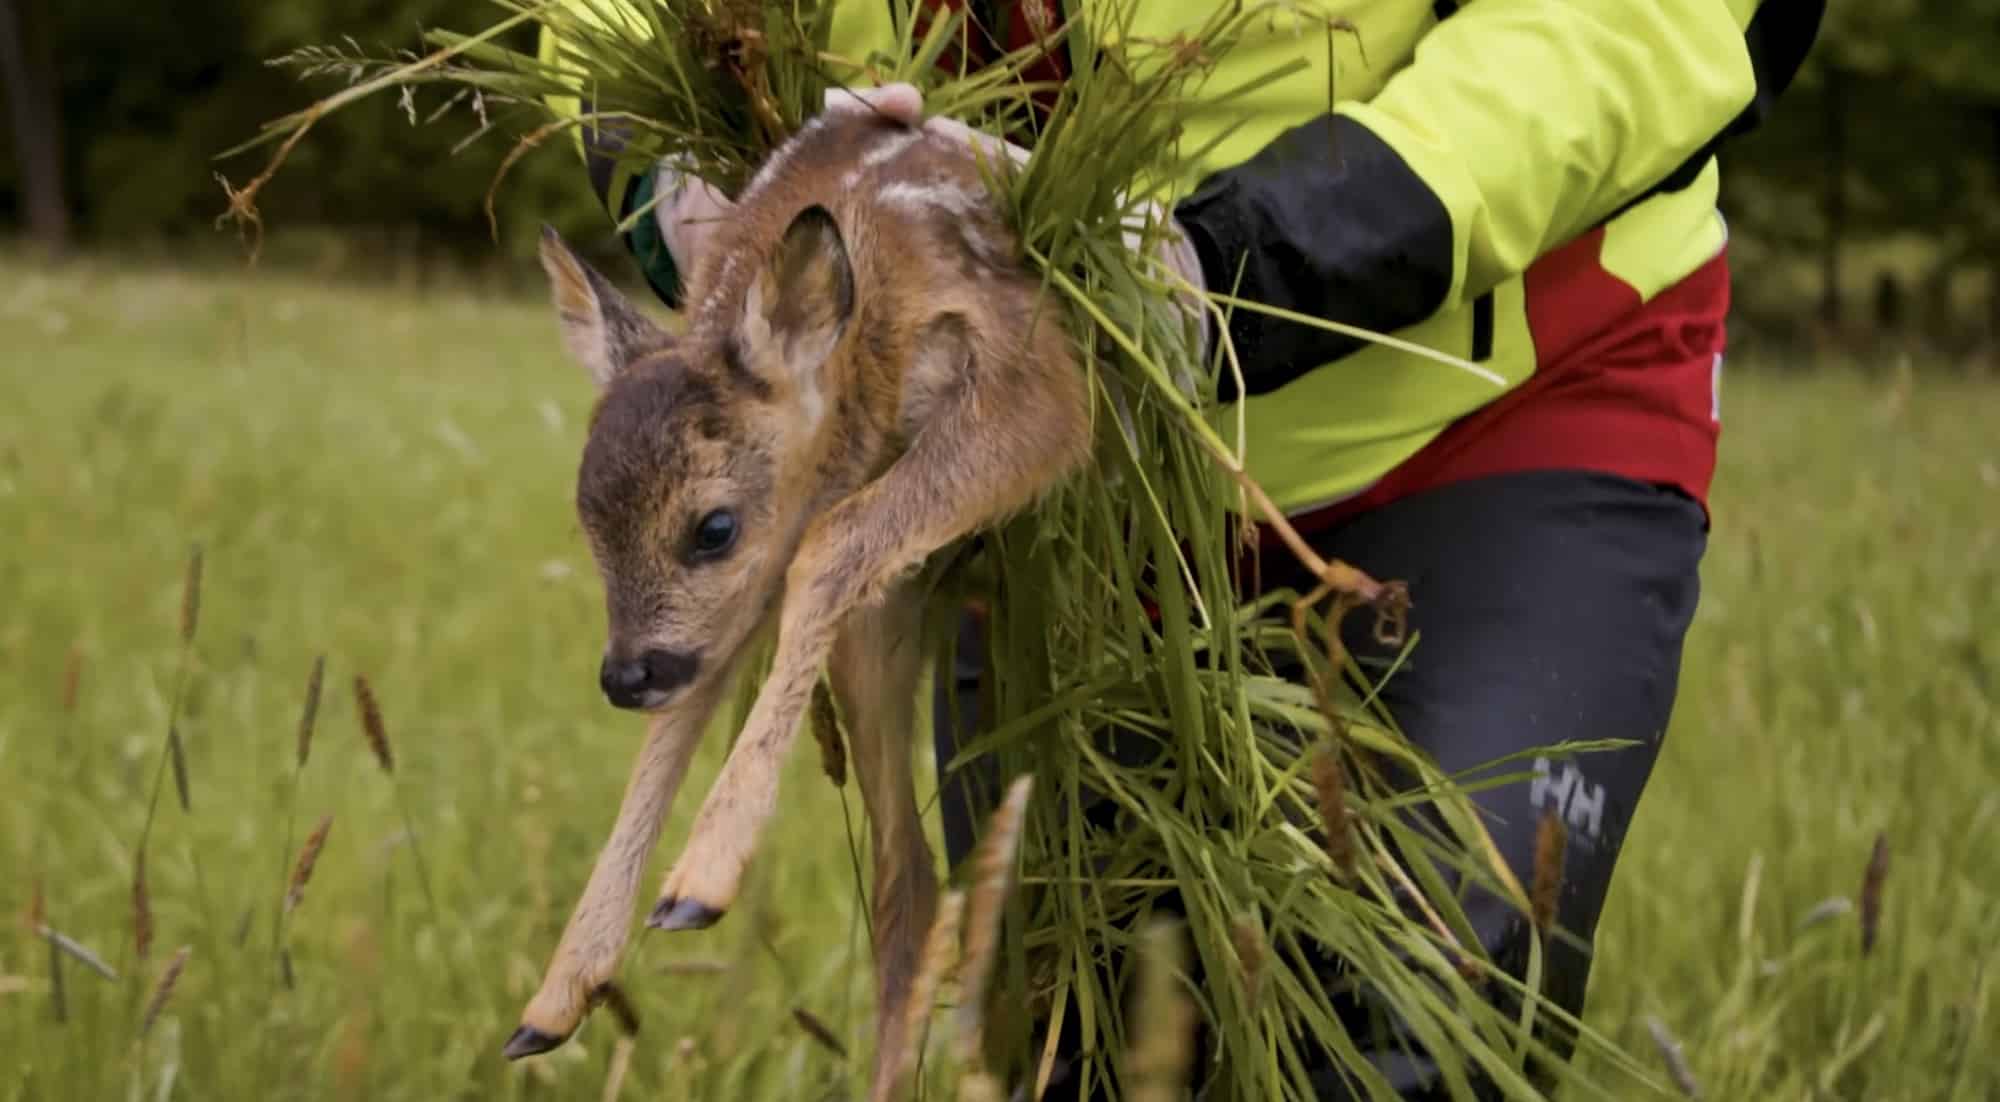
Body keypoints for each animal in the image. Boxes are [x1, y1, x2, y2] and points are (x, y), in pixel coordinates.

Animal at [503, 95, 1094, 1100]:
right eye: (587, 524)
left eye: (713, 527)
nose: (626, 676)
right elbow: (696, 696)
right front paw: (560, 993)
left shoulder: (1042, 382)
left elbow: (831, 541)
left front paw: (695, 880)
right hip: (881, 630)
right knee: (908, 879)